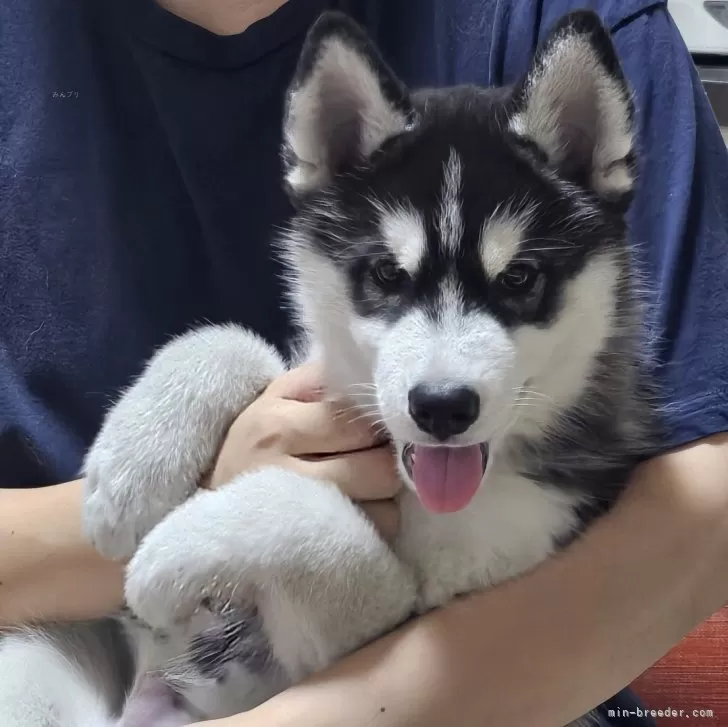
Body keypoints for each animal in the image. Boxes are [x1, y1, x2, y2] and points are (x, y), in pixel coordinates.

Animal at [0, 9, 656, 727]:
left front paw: (172, 550)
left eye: (518, 278)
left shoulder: (380, 628)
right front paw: (130, 475)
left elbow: (334, 529)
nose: (442, 407)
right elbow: (234, 339)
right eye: (387, 274)